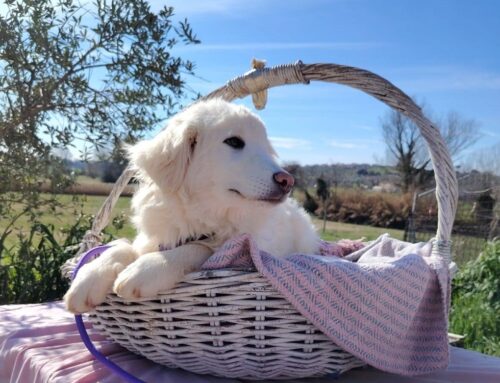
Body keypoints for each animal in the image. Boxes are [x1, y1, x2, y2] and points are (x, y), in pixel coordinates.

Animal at [64, 100, 318, 316]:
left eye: (266, 149)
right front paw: (90, 277)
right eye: (234, 142)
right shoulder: (150, 239)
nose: (288, 181)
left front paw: (145, 269)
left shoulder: (242, 250)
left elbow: (199, 248)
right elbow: (122, 246)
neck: (202, 214)